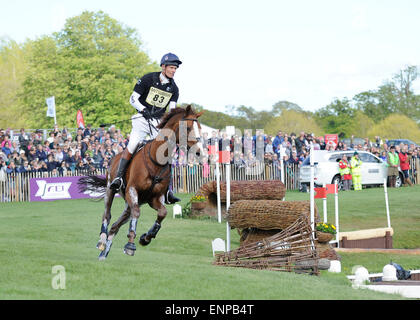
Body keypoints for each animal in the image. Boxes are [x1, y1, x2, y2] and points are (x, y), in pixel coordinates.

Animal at [79, 105, 205, 260]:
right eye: (187, 128)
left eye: (200, 128)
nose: (199, 152)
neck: (157, 161)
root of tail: (114, 157)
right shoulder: (132, 190)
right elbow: (137, 214)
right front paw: (130, 245)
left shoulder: (155, 198)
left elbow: (162, 213)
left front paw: (146, 237)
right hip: (111, 190)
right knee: (107, 215)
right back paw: (102, 241)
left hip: (131, 204)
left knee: (115, 225)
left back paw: (104, 253)